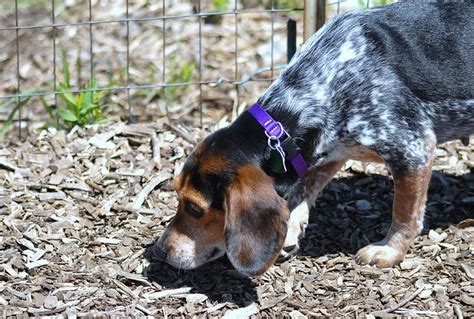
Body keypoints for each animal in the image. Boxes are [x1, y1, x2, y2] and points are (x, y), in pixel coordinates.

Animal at [152, 1, 474, 278]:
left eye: (195, 208)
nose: (159, 250)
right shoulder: (327, 149)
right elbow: (302, 188)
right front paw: (291, 228)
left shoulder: (412, 149)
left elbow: (405, 212)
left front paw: (389, 250)